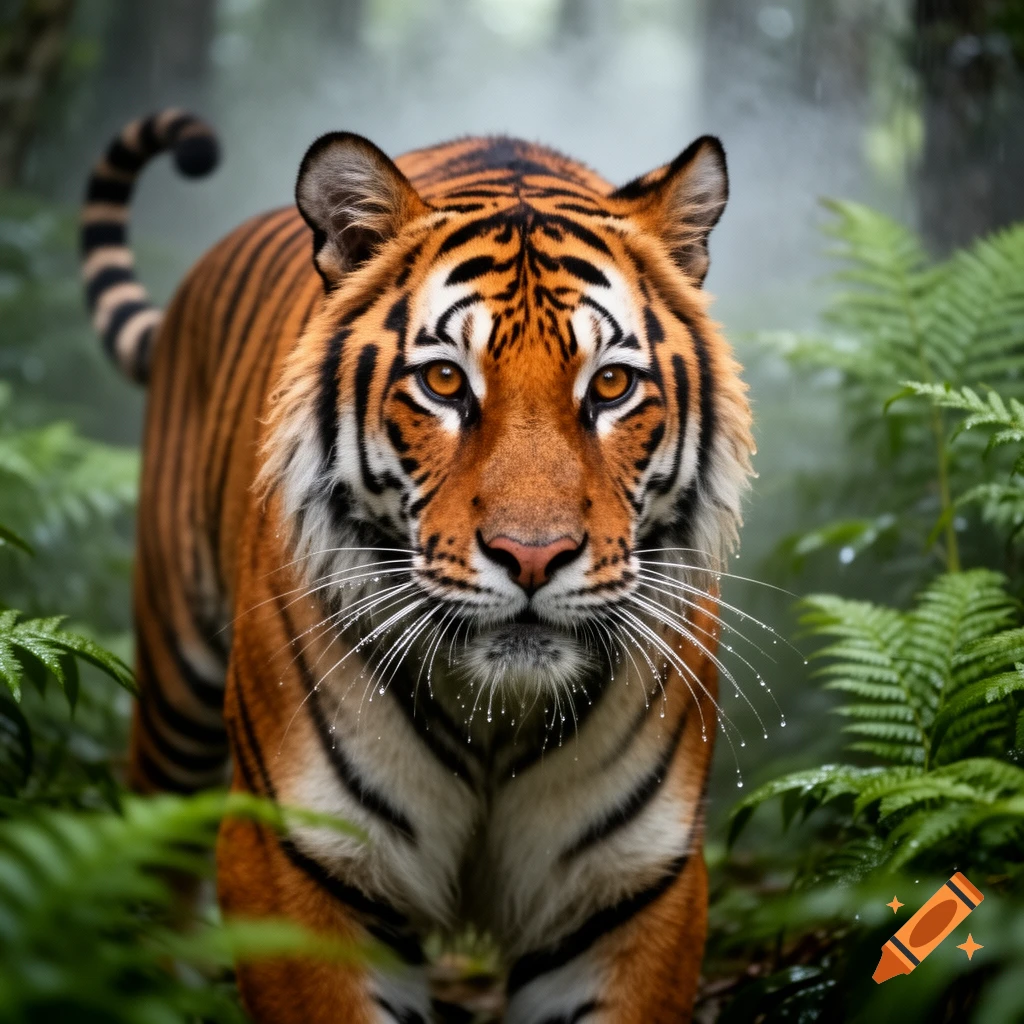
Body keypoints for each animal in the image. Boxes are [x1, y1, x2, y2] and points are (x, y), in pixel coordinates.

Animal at [80, 108, 754, 1024]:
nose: (533, 555)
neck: (498, 718)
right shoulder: (299, 861)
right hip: (175, 691)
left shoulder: (629, 887)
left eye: (612, 387)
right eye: (443, 381)